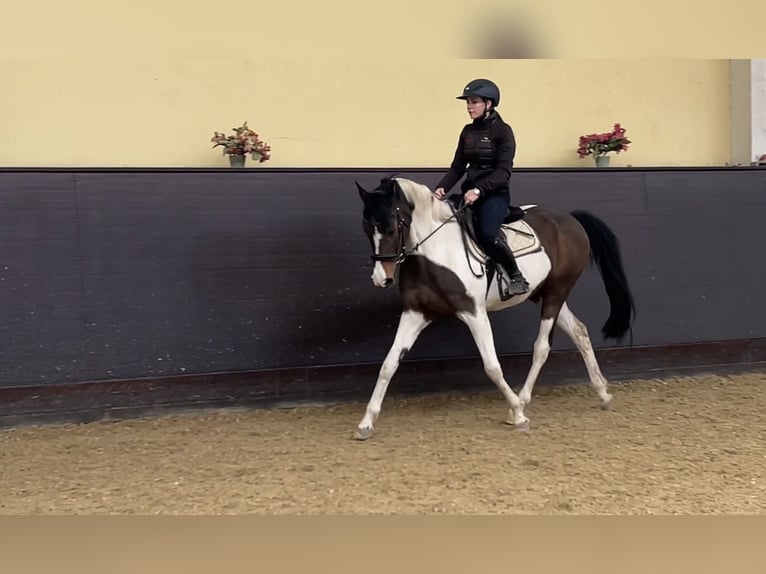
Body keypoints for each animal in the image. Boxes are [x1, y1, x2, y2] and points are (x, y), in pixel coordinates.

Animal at [353, 175, 636, 440]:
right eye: (366, 229)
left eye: (391, 228)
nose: (381, 279)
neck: (436, 253)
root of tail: (569, 218)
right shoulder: (415, 313)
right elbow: (388, 364)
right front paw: (366, 423)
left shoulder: (474, 313)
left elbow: (491, 365)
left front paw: (518, 413)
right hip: (544, 294)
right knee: (579, 331)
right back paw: (603, 393)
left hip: (556, 293)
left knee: (542, 347)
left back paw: (523, 400)